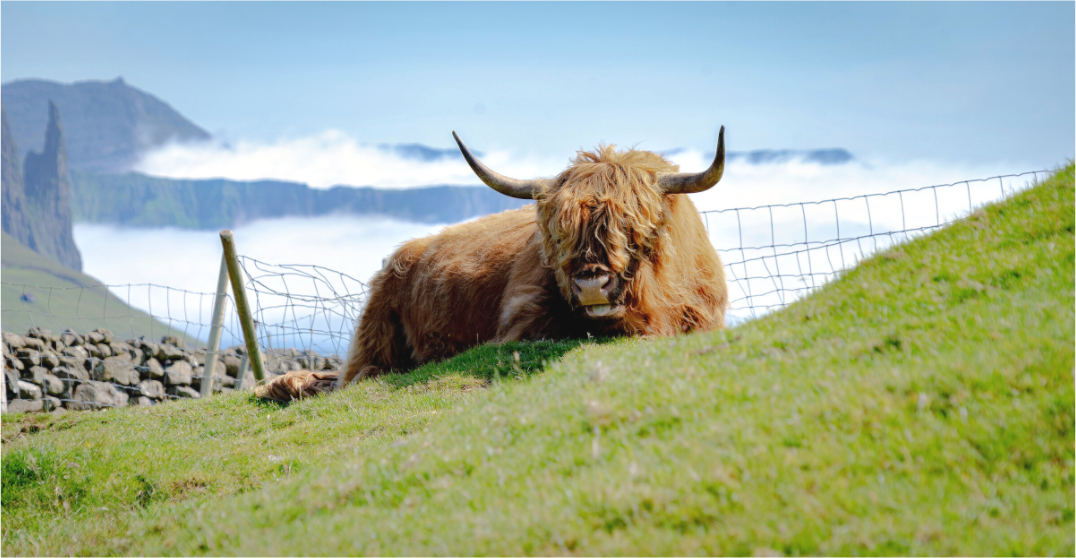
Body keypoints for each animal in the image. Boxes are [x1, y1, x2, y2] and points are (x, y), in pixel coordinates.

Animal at [256, 127, 729, 401]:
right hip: (375, 333)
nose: (592, 284)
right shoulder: (521, 323)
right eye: (558, 234)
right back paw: (280, 385)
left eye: (633, 228)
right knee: (356, 374)